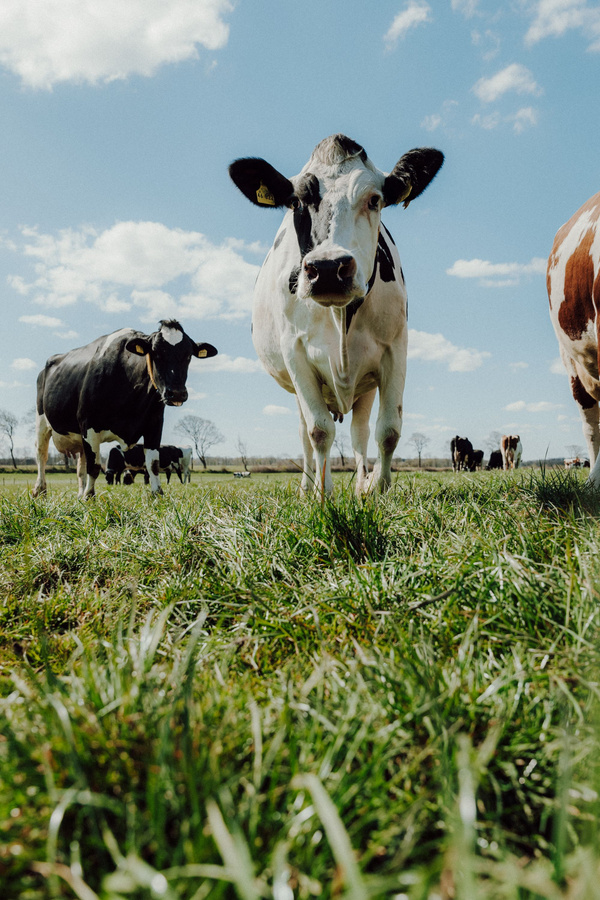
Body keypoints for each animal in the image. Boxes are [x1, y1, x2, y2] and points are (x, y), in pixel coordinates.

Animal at [33, 320, 217, 498]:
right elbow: (94, 467)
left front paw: (157, 494)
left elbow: (153, 464)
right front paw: (89, 497)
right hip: (42, 422)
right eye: (156, 353)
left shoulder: (155, 423)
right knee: (42, 456)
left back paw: (79, 494)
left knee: (80, 467)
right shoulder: (88, 424)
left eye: (188, 356)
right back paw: (40, 491)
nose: (177, 393)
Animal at [229, 134, 443, 495]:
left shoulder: (395, 350)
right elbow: (319, 431)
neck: (341, 317)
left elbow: (389, 430)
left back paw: (361, 484)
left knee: (359, 433)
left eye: (375, 200)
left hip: (365, 385)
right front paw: (323, 494)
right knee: (307, 431)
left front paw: (378, 489)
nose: (329, 268)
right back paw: (310, 486)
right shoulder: (296, 354)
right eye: (295, 202)